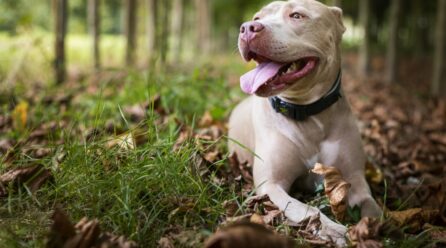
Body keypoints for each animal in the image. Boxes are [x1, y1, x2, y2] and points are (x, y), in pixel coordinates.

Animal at [228, 0, 382, 244]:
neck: (307, 113)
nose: (248, 28)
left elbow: (372, 209)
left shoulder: (355, 179)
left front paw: (371, 230)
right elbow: (307, 209)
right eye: (257, 17)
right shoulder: (270, 184)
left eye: (297, 15)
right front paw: (334, 230)